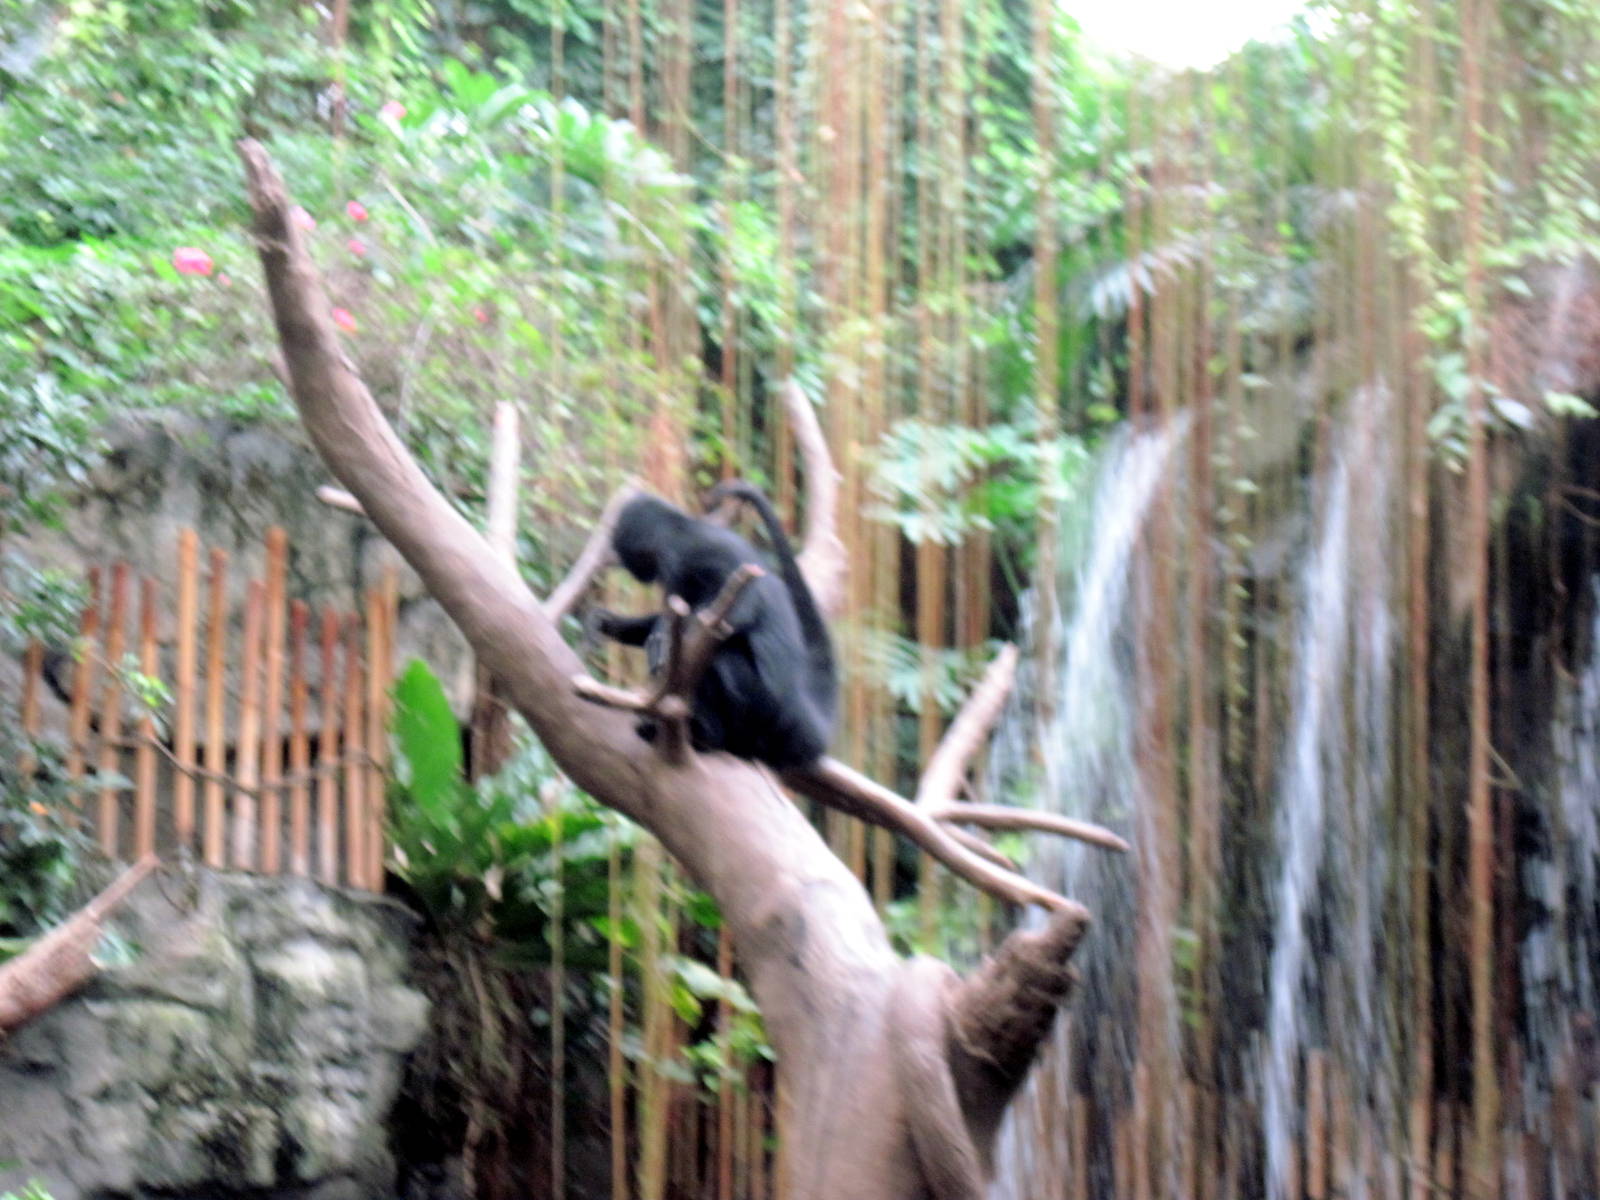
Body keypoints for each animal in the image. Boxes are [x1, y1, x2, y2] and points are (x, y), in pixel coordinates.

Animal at [588, 483, 836, 769]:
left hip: (761, 708)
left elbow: (740, 608)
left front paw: (662, 634)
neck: (685, 529)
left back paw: (707, 736)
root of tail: (795, 705)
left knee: (722, 658)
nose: (622, 562)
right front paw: (608, 622)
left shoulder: (685, 558)